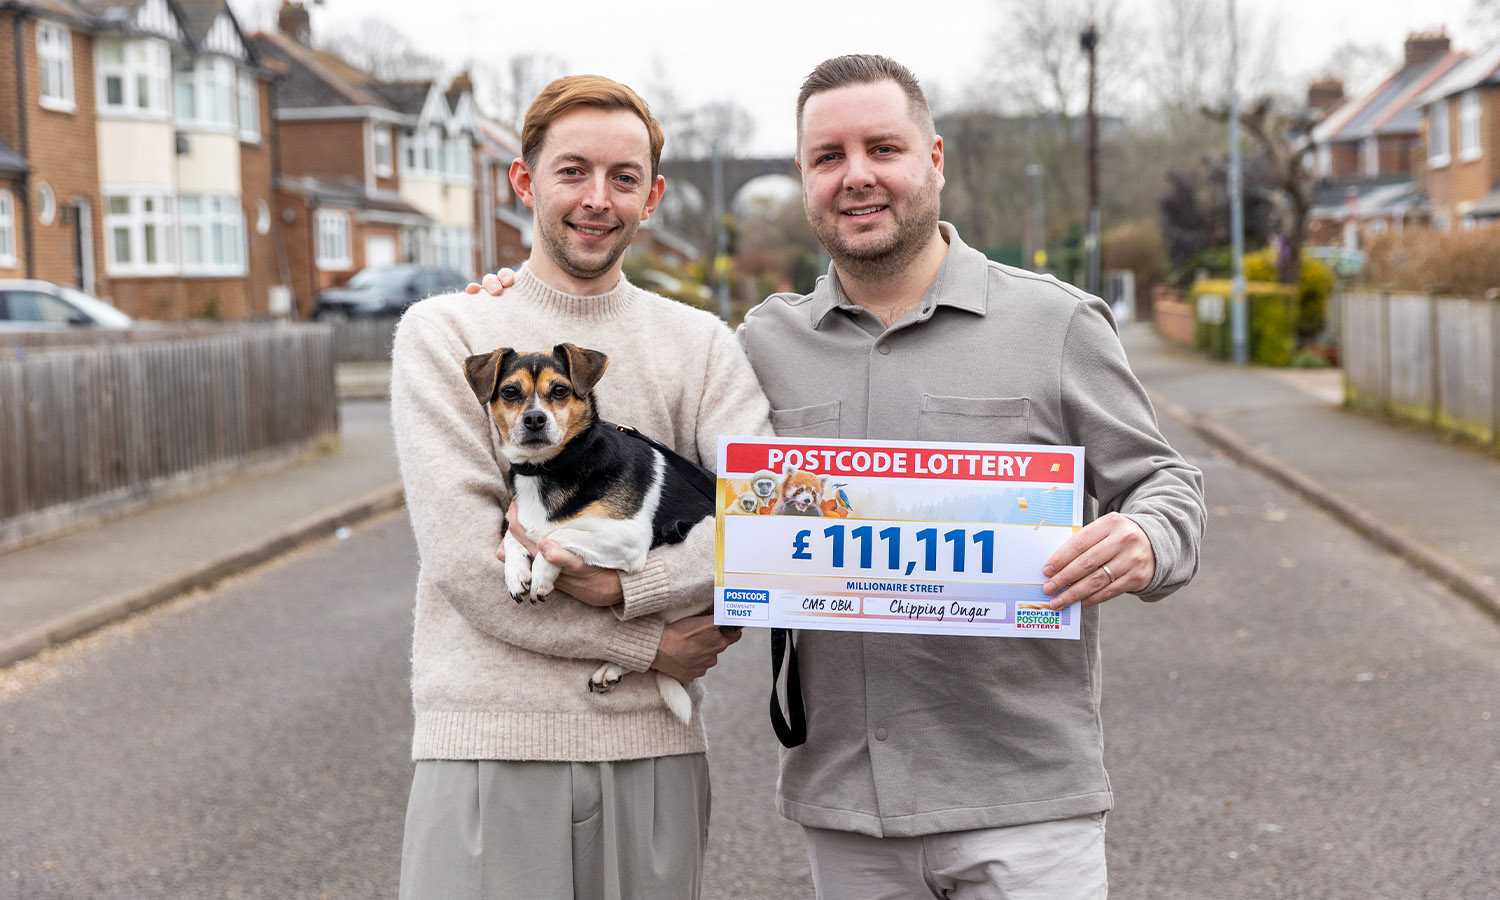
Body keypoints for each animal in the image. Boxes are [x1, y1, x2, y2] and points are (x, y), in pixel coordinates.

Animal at [468, 345, 720, 723]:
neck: (548, 468)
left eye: (560, 390)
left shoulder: (629, 537)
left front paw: (541, 574)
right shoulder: (520, 520)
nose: (534, 419)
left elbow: (555, 535)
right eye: (510, 392)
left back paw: (614, 667)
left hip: (683, 604)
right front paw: (516, 572)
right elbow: (517, 536)